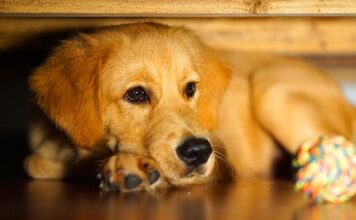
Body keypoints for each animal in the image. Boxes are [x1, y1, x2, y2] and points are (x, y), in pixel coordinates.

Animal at [24, 21, 354, 192]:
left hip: (273, 92)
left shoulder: (222, 161)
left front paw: (131, 166)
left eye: (190, 89)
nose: (198, 152)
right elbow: (38, 164)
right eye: (136, 94)